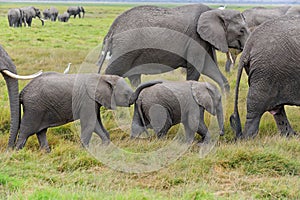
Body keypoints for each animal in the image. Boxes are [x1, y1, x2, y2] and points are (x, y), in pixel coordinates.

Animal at [97, 4, 250, 91]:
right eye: (241, 30)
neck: (215, 11)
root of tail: (112, 29)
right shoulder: (195, 39)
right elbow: (196, 70)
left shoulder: (204, 41)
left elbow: (210, 68)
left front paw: (226, 100)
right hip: (125, 46)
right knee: (113, 71)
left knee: (133, 76)